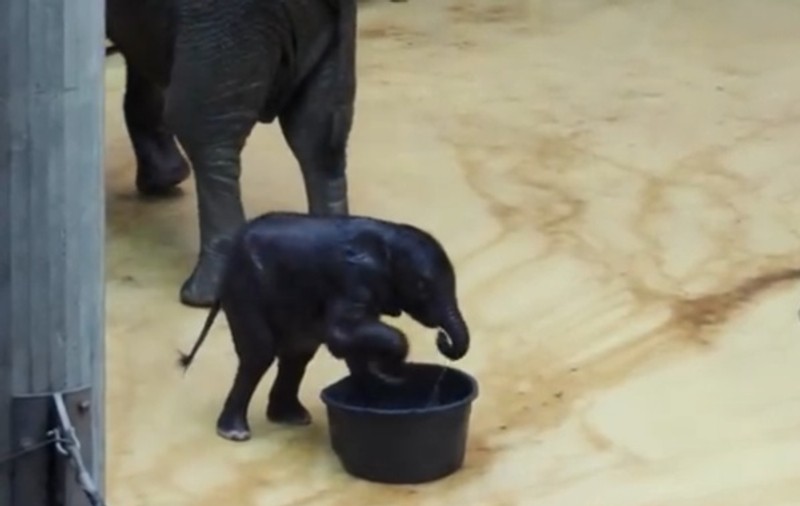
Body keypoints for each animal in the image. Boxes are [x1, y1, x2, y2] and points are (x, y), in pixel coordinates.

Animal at [177, 211, 471, 442]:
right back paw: (235, 433)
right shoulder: (353, 280)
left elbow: (353, 340)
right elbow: (341, 333)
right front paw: (391, 373)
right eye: (422, 287)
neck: (389, 238)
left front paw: (379, 381)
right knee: (260, 354)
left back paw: (291, 418)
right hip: (245, 290)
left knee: (297, 355)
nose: (442, 339)